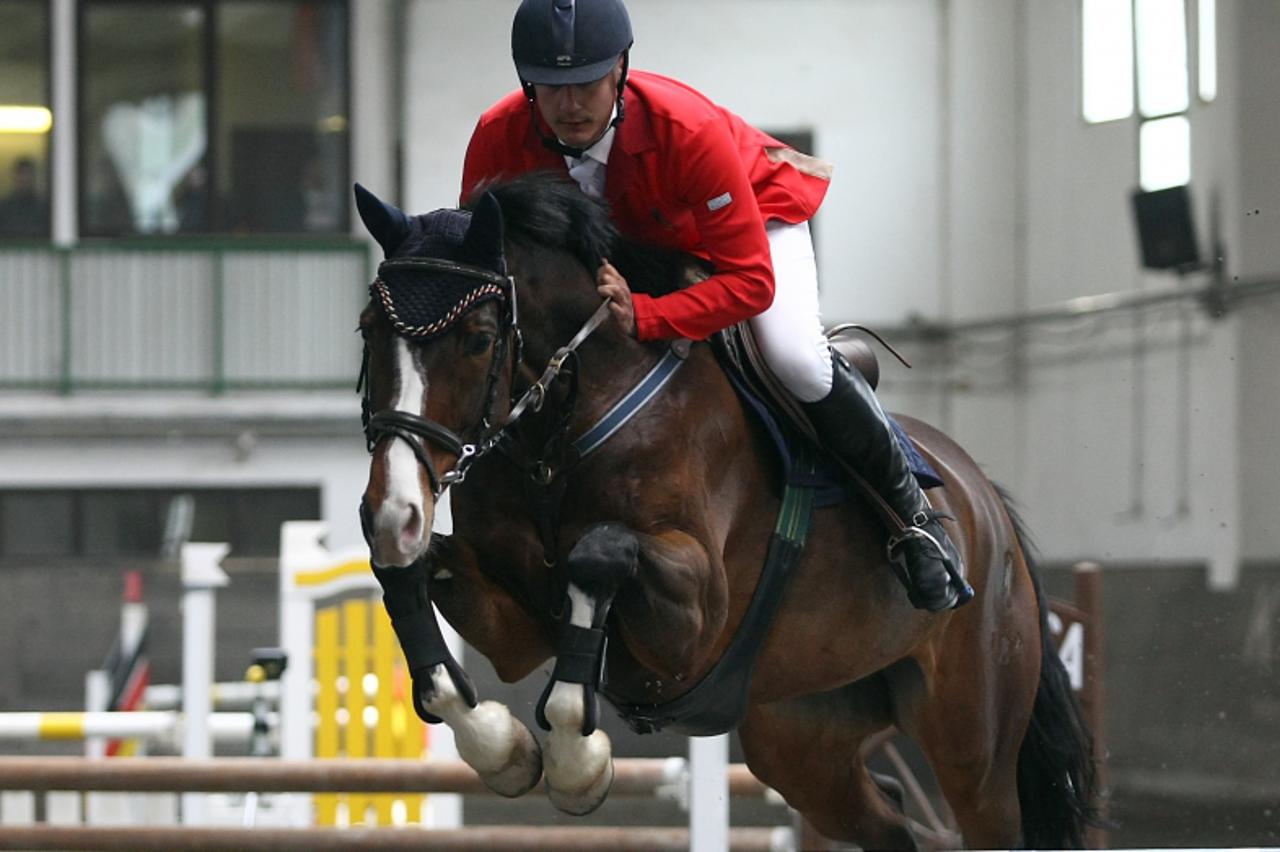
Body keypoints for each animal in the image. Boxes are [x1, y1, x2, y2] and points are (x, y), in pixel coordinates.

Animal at [355, 175, 1095, 844]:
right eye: (367, 331)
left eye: (480, 338)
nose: (396, 508)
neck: (558, 432)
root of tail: (985, 502)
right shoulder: (515, 629)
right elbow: (411, 578)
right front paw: (501, 747)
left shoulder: (694, 616)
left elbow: (599, 551)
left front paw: (576, 763)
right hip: (800, 737)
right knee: (885, 820)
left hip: (974, 746)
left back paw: (927, 556)